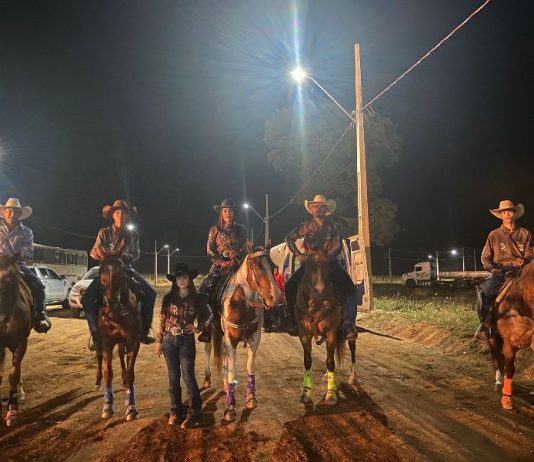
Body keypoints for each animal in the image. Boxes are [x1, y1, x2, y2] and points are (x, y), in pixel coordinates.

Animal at [94, 253, 141, 421]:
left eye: (121, 269)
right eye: (101, 270)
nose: (111, 300)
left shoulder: (133, 341)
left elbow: (131, 372)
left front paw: (131, 407)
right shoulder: (107, 342)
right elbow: (108, 372)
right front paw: (108, 406)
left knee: (121, 355)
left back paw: (124, 379)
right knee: (99, 357)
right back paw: (97, 381)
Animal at [209, 243, 281, 422]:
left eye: (273, 267)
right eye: (256, 267)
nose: (276, 297)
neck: (242, 304)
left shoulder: (254, 339)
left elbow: (250, 366)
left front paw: (251, 398)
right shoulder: (230, 340)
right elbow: (232, 370)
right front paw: (229, 408)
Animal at [295, 246, 357, 405]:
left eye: (327, 266)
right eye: (306, 267)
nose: (318, 295)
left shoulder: (331, 332)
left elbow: (330, 362)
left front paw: (331, 394)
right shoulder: (304, 334)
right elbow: (308, 361)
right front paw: (305, 393)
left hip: (349, 328)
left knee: (352, 346)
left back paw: (353, 378)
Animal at [485, 263, 534, 409]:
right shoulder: (510, 344)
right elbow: (510, 369)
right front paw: (506, 399)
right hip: (493, 338)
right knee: (495, 355)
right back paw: (498, 381)